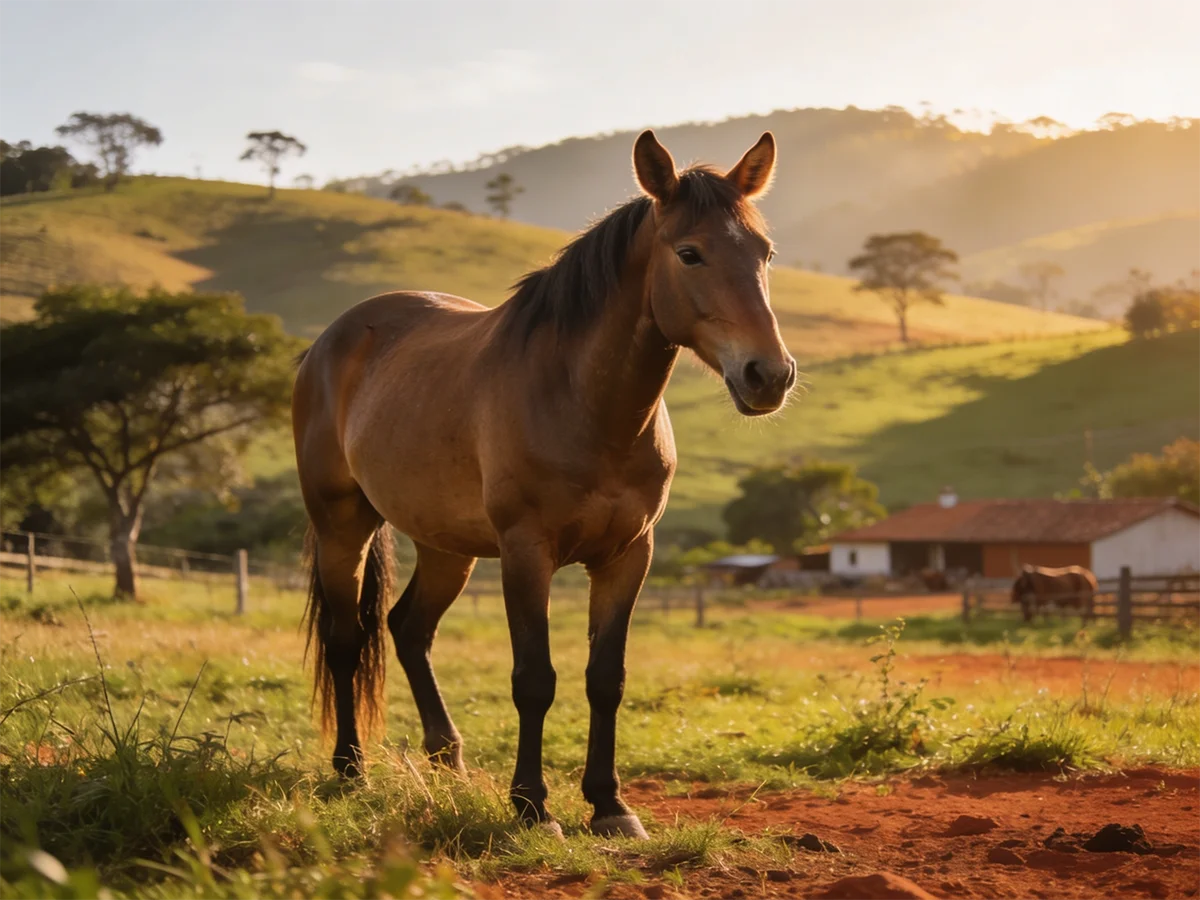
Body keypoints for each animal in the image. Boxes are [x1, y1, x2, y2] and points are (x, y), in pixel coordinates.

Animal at [291, 130, 795, 839]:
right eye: (690, 253)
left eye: (765, 253)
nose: (769, 376)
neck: (585, 404)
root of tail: (329, 343)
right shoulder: (527, 554)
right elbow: (535, 678)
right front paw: (533, 806)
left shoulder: (628, 556)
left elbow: (605, 678)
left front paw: (611, 806)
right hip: (343, 527)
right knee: (345, 641)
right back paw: (351, 768)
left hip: (446, 547)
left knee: (408, 630)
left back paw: (448, 760)